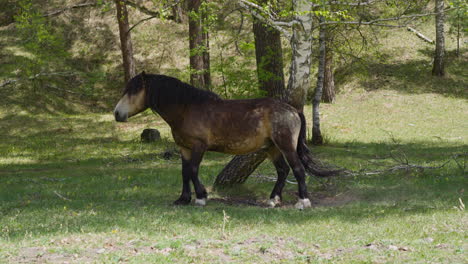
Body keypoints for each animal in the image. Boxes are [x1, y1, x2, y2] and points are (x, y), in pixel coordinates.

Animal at [113, 71, 336, 209]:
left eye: (133, 90)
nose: (116, 114)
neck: (187, 109)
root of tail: (293, 110)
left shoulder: (199, 146)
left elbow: (193, 170)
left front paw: (201, 197)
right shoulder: (184, 148)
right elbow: (185, 173)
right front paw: (183, 199)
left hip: (286, 146)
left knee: (297, 170)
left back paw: (303, 202)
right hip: (271, 148)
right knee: (283, 171)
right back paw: (273, 200)